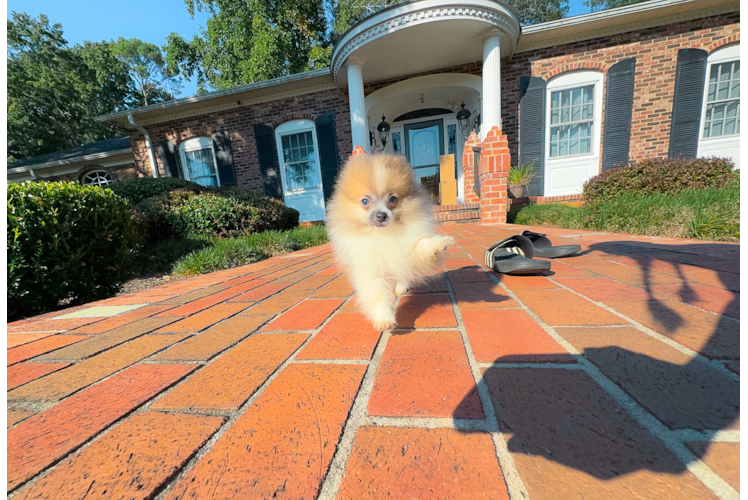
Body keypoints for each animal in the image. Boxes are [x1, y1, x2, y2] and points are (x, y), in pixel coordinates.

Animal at [328, 154, 456, 330]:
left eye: (393, 199)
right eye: (365, 201)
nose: (382, 215)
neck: (382, 236)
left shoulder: (405, 251)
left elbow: (421, 246)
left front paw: (438, 244)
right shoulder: (371, 268)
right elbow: (377, 294)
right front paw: (384, 318)